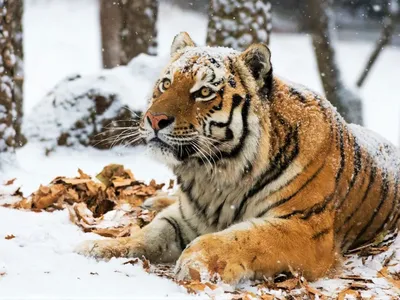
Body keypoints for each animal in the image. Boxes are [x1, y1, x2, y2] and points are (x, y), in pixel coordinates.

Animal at [77, 32, 400, 284]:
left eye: (203, 92)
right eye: (166, 84)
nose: (154, 119)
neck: (217, 176)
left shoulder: (306, 228)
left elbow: (243, 238)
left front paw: (195, 259)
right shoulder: (187, 215)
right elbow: (150, 233)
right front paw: (98, 247)